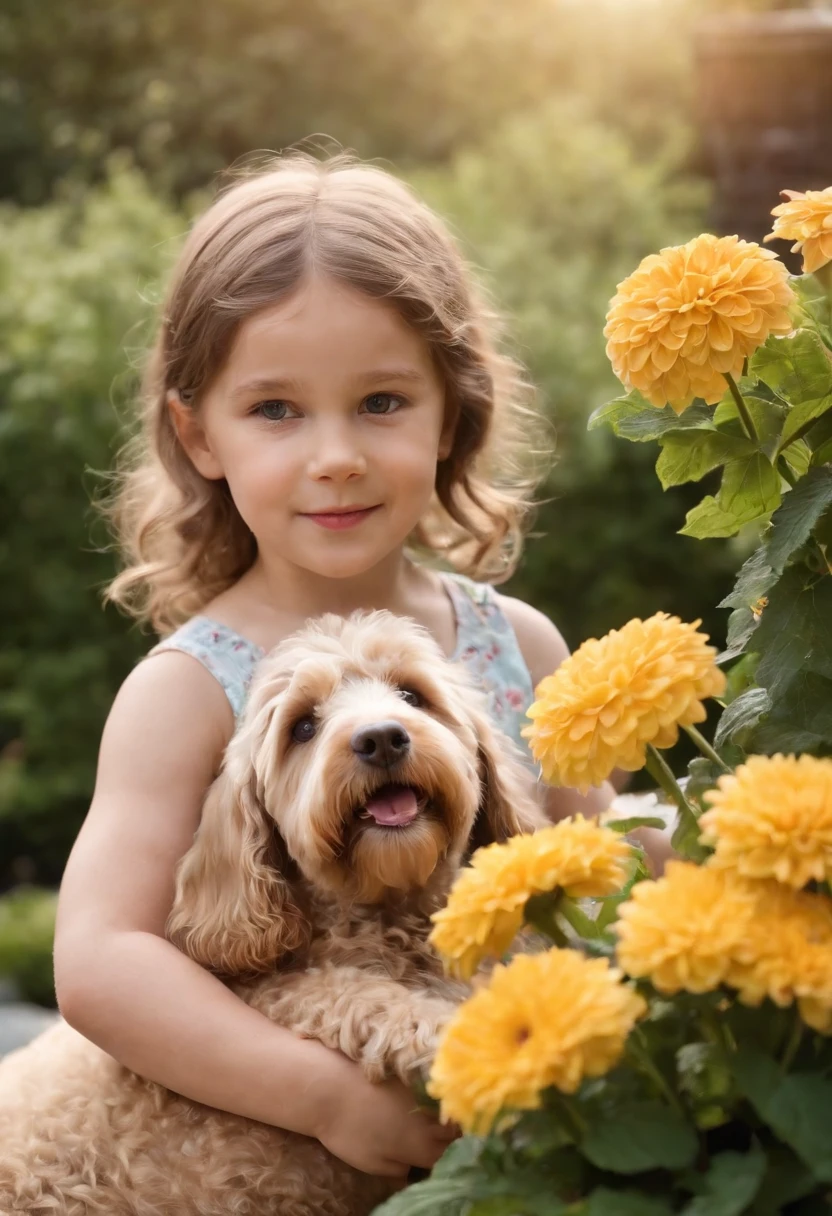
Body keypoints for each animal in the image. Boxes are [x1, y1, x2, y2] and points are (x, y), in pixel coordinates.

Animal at [0, 612, 544, 1216]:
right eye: (303, 727)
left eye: (412, 695)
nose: (381, 738)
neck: (388, 913)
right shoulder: (259, 988)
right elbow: (340, 992)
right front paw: (445, 1032)